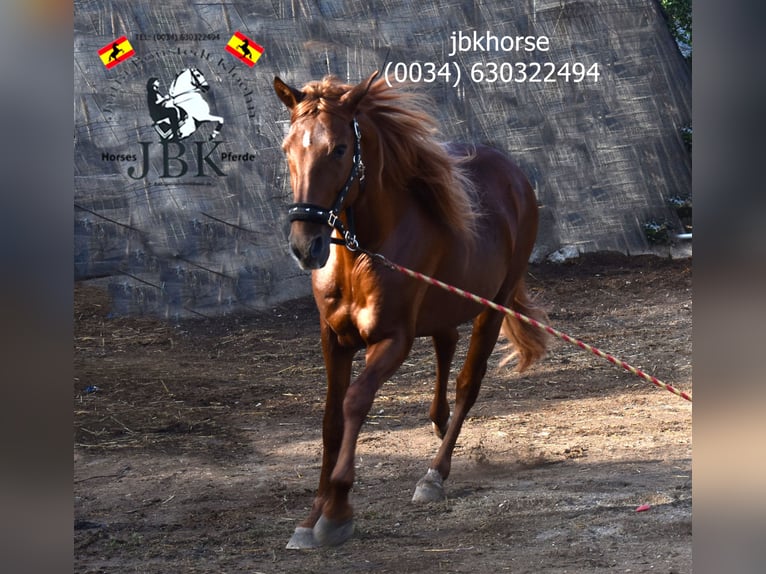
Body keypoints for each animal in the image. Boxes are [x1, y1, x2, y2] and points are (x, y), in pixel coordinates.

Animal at [272, 72, 548, 548]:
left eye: (339, 149)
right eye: (289, 147)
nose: (306, 246)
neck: (362, 253)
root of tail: (514, 175)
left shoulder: (391, 340)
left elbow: (355, 403)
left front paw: (338, 511)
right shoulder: (334, 340)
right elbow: (330, 421)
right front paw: (311, 517)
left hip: (491, 307)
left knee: (467, 384)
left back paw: (434, 475)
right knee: (445, 342)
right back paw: (436, 423)